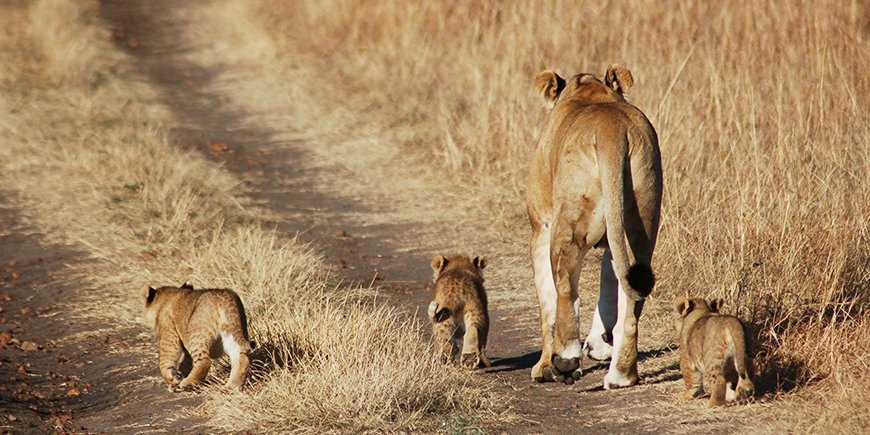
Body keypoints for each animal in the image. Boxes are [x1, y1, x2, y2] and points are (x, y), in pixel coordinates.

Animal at [526, 65, 662, 388]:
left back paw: (564, 361)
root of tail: (613, 132)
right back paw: (621, 375)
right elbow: (608, 286)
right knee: (631, 298)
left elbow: (546, 302)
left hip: (567, 224)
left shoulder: (540, 228)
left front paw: (542, 366)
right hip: (642, 219)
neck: (589, 91)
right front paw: (599, 345)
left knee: (565, 290)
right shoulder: (614, 237)